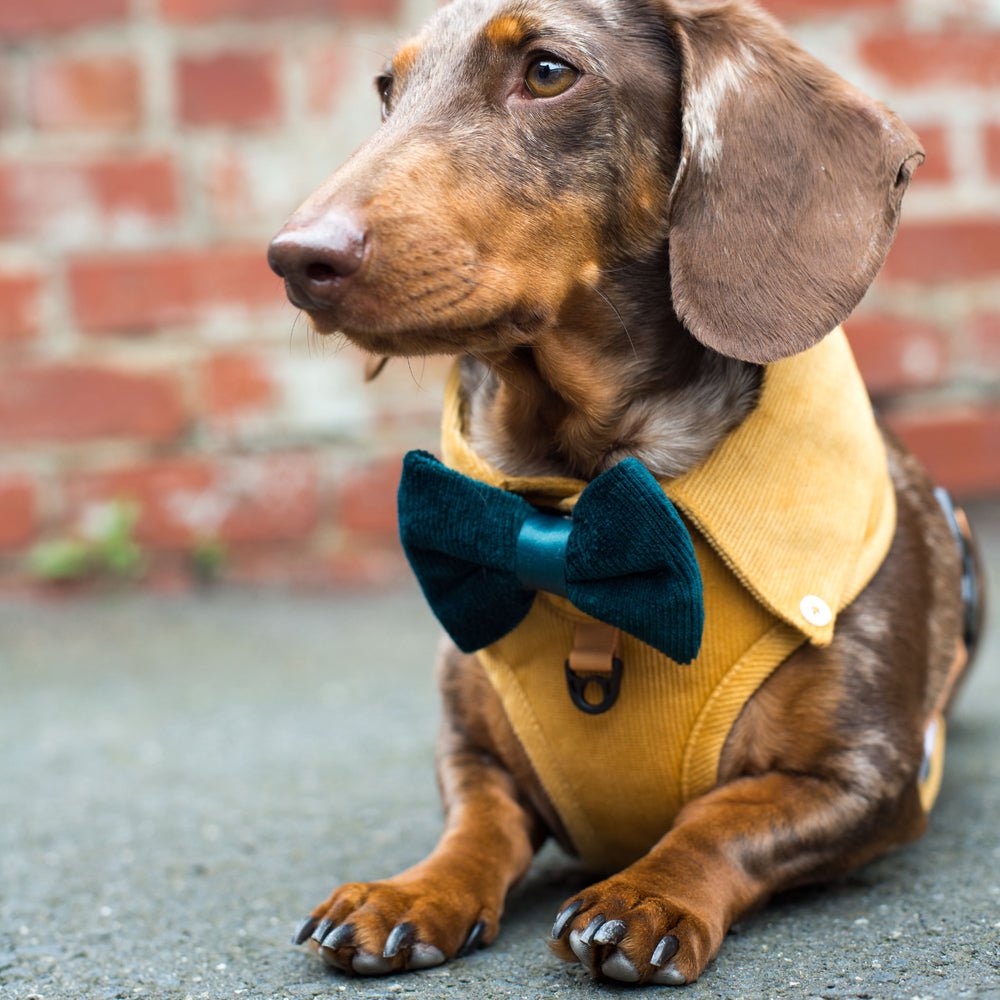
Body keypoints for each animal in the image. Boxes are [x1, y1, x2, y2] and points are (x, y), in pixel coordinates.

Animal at [270, 0, 980, 984]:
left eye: (547, 71)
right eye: (386, 88)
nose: (296, 259)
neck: (584, 511)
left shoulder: (863, 777)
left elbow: (718, 819)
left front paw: (646, 894)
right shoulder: (472, 751)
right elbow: (478, 824)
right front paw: (414, 892)